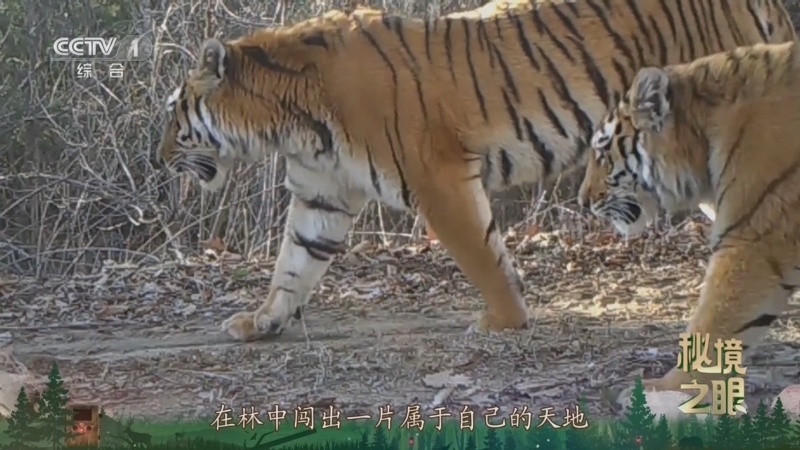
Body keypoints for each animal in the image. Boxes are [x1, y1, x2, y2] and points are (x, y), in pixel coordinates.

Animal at [154, 0, 796, 342]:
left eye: (173, 115)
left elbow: (481, 256)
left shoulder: (437, 177)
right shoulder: (321, 193)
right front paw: (262, 321)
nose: (158, 160)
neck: (288, 119)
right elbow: (293, 264)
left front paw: (503, 322)